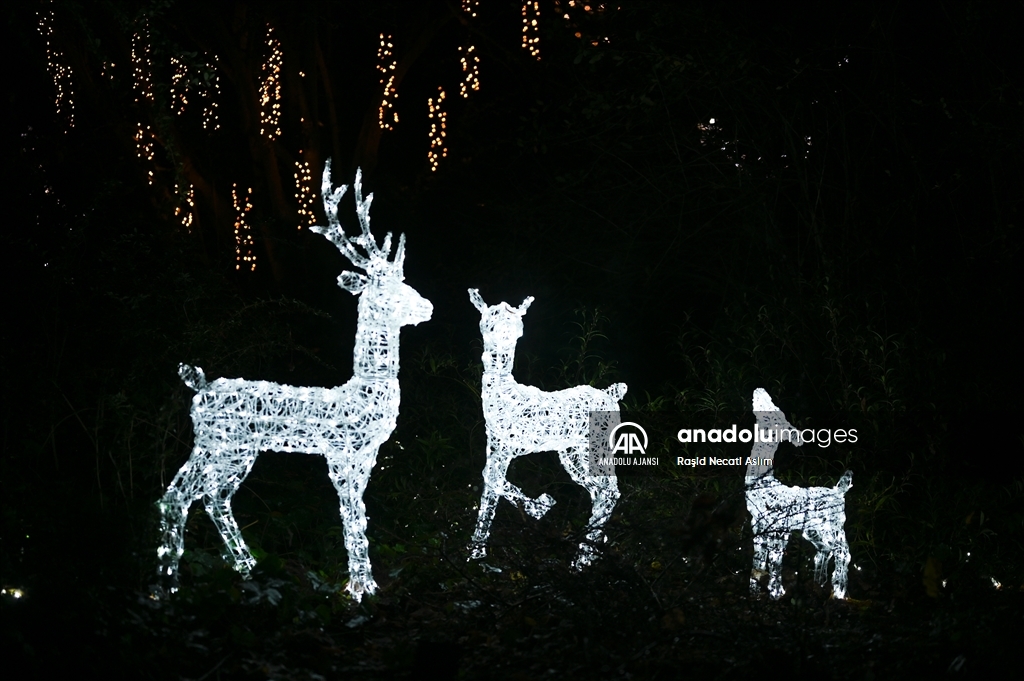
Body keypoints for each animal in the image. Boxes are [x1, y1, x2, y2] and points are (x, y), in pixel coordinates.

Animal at [155, 160, 432, 602]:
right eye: (384, 289)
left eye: (404, 281)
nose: (427, 306)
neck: (361, 395)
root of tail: (199, 386)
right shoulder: (340, 453)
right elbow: (350, 514)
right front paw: (359, 587)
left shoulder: (368, 456)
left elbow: (361, 513)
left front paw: (366, 583)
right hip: (217, 443)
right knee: (178, 495)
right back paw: (168, 587)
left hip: (238, 450)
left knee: (212, 496)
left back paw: (244, 566)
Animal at [466, 288, 622, 569]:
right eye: (488, 320)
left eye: (519, 328)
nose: (502, 342)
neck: (505, 394)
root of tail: (612, 394)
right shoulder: (494, 445)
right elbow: (489, 480)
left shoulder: (505, 448)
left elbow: (491, 481)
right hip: (573, 454)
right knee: (600, 492)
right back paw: (590, 550)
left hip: (597, 448)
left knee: (610, 491)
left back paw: (582, 559)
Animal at [749, 387, 851, 602]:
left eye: (777, 414)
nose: (759, 391)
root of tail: (840, 490)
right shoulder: (758, 526)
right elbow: (758, 562)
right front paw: (753, 593)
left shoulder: (779, 529)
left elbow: (775, 561)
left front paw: (776, 594)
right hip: (814, 529)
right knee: (825, 550)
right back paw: (819, 584)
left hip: (834, 525)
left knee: (842, 552)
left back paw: (839, 592)